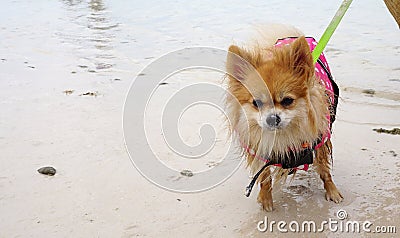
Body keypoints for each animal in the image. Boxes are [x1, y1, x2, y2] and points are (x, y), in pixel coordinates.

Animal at [225, 25, 344, 211]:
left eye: (287, 100)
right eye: (256, 103)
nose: (272, 119)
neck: (283, 136)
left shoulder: (320, 141)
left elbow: (324, 169)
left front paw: (332, 191)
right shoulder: (259, 149)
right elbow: (264, 177)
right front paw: (266, 199)